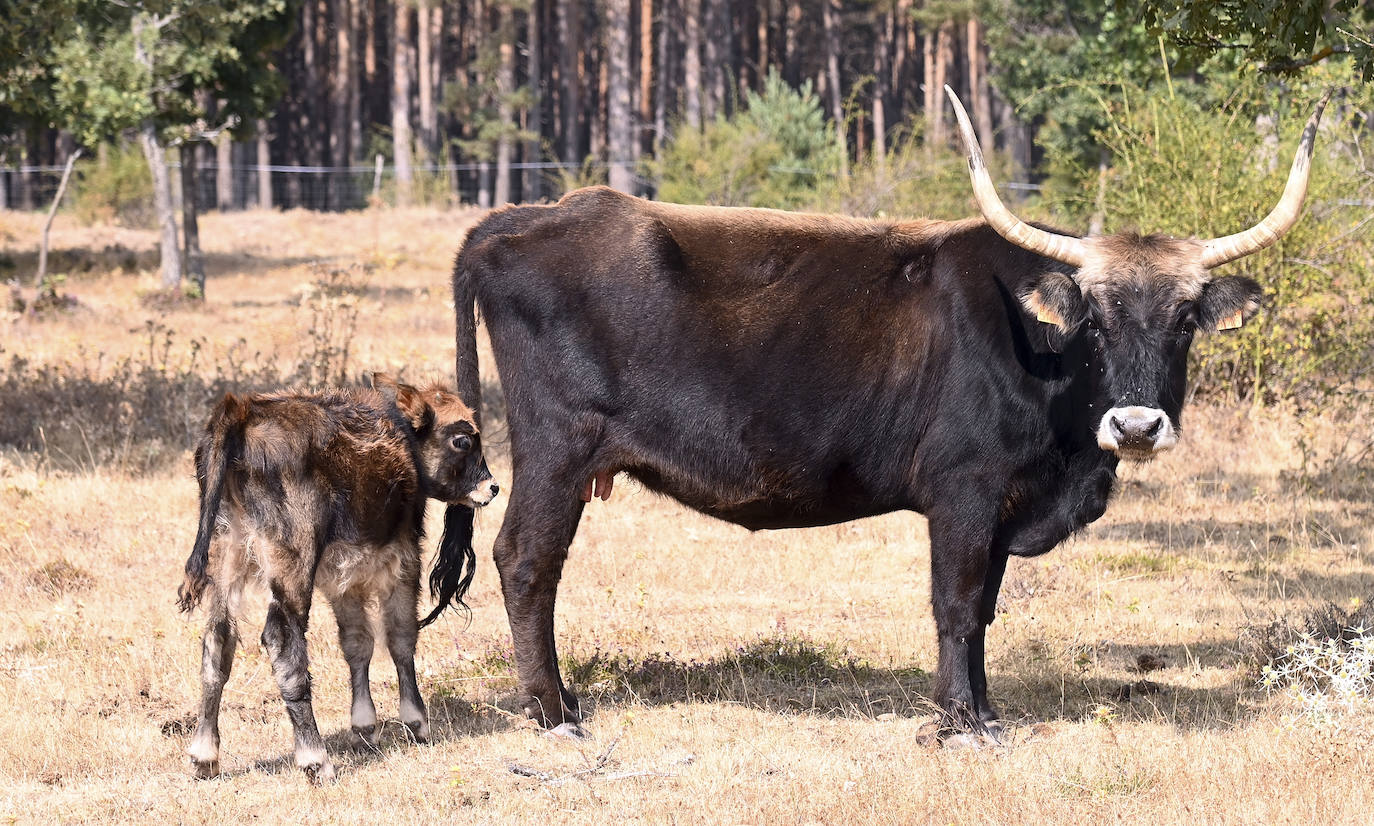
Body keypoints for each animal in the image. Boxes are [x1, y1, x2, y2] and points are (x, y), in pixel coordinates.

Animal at [177, 373, 497, 780]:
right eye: (463, 439)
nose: (492, 487)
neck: (402, 441)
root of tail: (242, 411)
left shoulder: (344, 579)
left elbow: (357, 642)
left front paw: (363, 726)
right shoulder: (404, 559)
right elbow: (400, 637)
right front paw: (416, 722)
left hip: (227, 557)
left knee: (217, 643)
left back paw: (205, 755)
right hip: (293, 567)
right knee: (283, 642)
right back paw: (315, 758)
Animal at [453, 90, 1330, 736]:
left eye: (1184, 319)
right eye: (1095, 318)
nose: (1138, 427)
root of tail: (517, 220)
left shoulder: (1004, 506)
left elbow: (985, 609)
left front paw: (986, 711)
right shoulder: (965, 492)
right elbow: (956, 601)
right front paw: (955, 724)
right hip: (558, 448)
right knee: (526, 561)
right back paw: (554, 713)